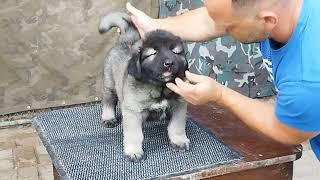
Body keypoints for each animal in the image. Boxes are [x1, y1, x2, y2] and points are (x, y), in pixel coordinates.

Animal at [99, 12, 189, 162]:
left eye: (175, 52)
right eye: (152, 53)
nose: (169, 63)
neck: (159, 88)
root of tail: (125, 40)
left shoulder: (179, 106)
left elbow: (177, 126)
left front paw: (179, 140)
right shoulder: (133, 111)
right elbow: (135, 134)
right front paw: (134, 151)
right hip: (109, 83)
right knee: (109, 101)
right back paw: (109, 118)